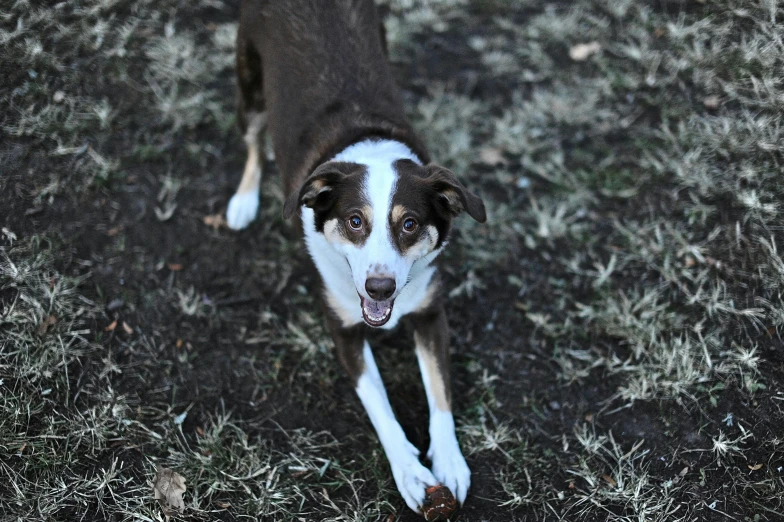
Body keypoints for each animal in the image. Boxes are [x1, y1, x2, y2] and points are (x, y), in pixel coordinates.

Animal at [225, 0, 484, 512]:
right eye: (355, 221)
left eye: (409, 224)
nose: (379, 288)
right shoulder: (343, 327)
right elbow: (379, 404)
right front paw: (410, 471)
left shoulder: (431, 313)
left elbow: (440, 393)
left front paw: (449, 460)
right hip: (249, 88)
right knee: (253, 144)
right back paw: (244, 200)